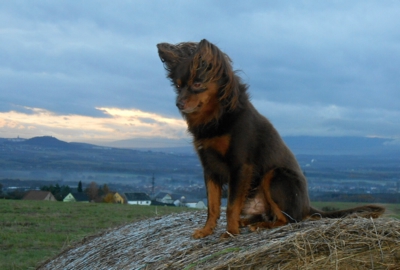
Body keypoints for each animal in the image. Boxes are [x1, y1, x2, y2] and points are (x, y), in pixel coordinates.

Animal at [156, 38, 384, 238]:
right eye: (178, 86)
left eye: (197, 83)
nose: (178, 104)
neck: (218, 116)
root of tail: (307, 206)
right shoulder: (210, 168)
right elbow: (212, 207)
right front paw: (206, 231)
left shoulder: (240, 166)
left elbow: (230, 206)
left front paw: (229, 233)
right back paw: (247, 222)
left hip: (274, 176)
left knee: (288, 220)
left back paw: (260, 225)